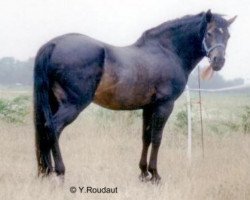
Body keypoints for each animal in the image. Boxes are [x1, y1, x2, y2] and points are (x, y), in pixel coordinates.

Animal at [33, 10, 236, 183]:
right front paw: (155, 175)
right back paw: (59, 172)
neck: (167, 51)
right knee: (53, 128)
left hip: (52, 102)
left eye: (227, 36)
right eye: (209, 33)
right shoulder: (164, 105)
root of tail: (53, 44)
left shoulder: (148, 107)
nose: (218, 61)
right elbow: (157, 138)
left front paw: (143, 173)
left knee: (44, 130)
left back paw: (46, 172)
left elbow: (145, 137)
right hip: (73, 104)